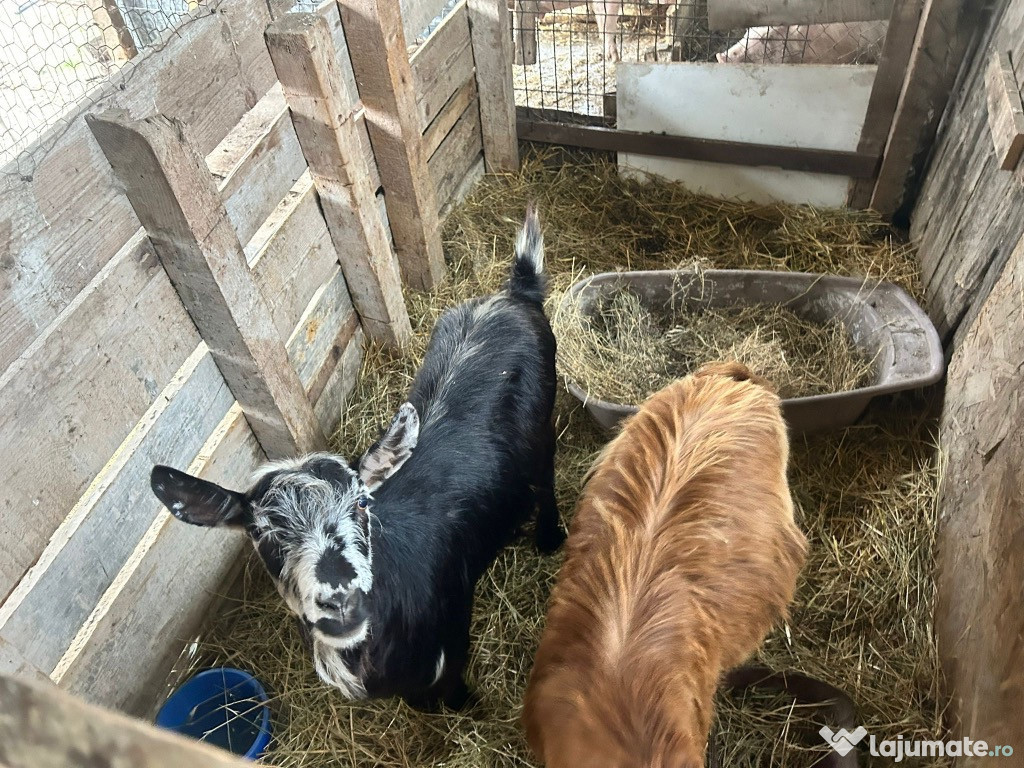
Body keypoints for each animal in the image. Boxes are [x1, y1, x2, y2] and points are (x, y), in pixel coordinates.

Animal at [150, 208, 565, 710]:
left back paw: (550, 537)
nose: (339, 600)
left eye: (362, 505)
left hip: (544, 423)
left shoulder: (450, 651)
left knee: (546, 477)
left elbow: (449, 695)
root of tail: (515, 295)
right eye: (260, 532)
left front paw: (470, 709)